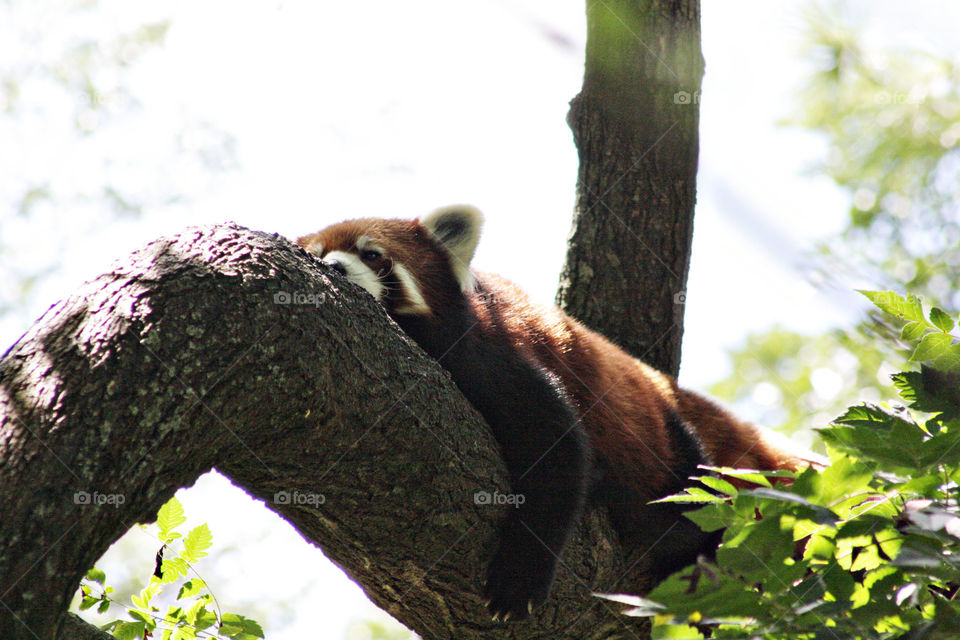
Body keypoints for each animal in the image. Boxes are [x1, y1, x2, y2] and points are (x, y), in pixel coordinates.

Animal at [296, 205, 815, 621]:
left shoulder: (494, 351)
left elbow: (558, 448)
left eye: (372, 255)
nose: (332, 267)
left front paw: (519, 580)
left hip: (670, 438)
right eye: (315, 253)